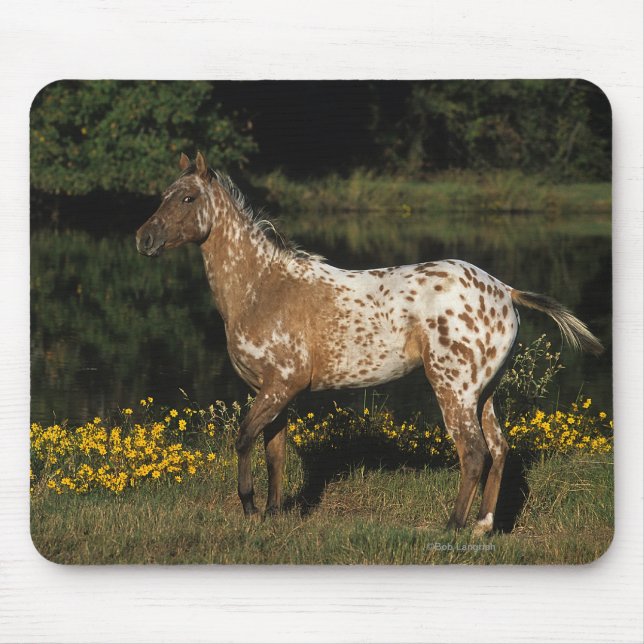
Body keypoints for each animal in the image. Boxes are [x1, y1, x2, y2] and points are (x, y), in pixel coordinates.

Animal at [136, 151, 603, 535]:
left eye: (188, 199)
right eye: (163, 195)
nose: (144, 239)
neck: (261, 287)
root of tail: (505, 291)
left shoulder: (280, 386)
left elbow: (244, 438)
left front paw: (250, 508)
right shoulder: (274, 392)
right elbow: (275, 453)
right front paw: (271, 514)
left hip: (454, 388)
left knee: (473, 452)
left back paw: (452, 527)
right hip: (484, 392)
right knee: (499, 449)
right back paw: (482, 526)